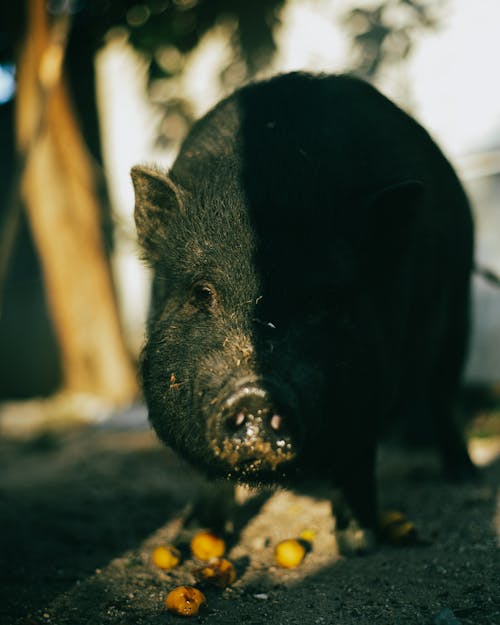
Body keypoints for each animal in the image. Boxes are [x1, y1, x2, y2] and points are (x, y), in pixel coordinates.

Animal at [131, 72, 474, 540]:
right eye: (202, 293)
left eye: (324, 301)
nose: (255, 395)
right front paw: (192, 539)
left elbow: (357, 458)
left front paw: (360, 539)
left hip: (459, 310)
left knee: (441, 393)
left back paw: (464, 475)